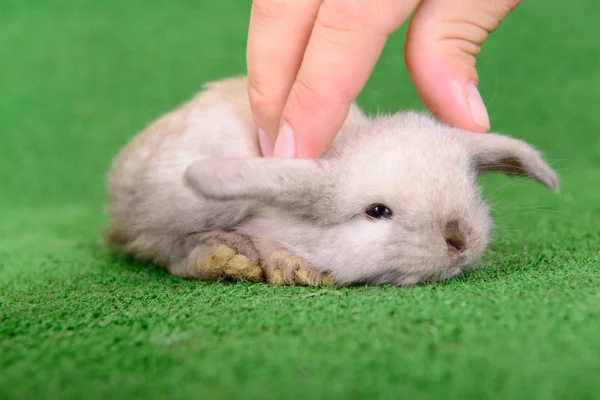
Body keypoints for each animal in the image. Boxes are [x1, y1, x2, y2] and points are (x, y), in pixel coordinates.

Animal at [103, 76, 556, 288]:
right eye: (378, 211)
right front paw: (296, 269)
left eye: (470, 189)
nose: (460, 240)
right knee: (165, 248)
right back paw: (224, 258)